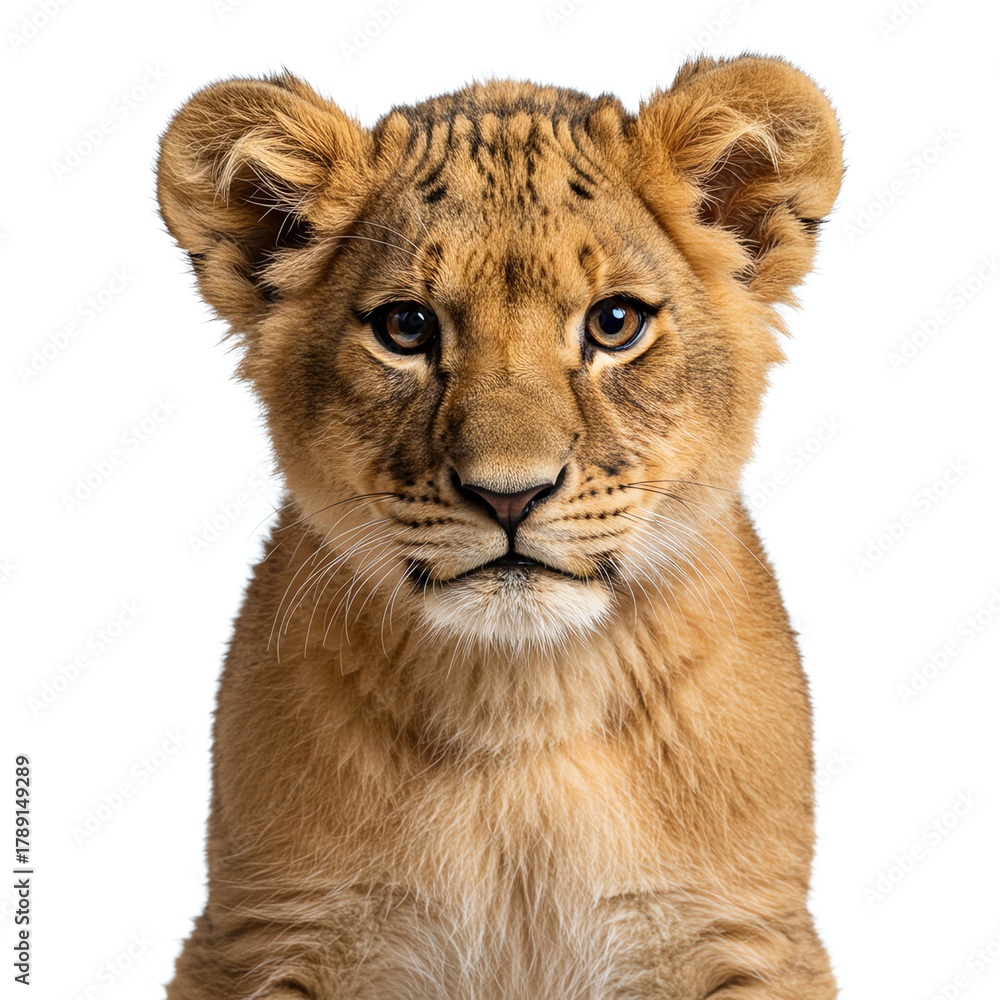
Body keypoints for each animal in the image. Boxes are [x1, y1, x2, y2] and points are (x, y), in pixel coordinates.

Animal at [157, 54, 843, 999]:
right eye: (406, 327)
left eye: (615, 323)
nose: (510, 496)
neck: (521, 702)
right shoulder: (262, 933)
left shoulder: (747, 933)